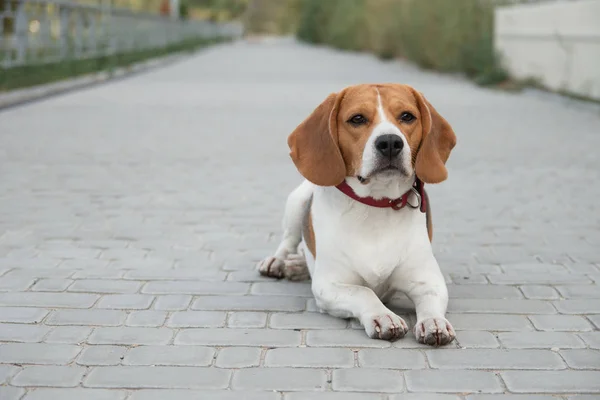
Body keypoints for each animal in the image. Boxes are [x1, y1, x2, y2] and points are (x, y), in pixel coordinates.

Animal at [255, 83, 458, 344]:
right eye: (357, 119)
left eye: (407, 116)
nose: (390, 142)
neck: (375, 205)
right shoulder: (329, 286)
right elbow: (364, 291)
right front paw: (384, 316)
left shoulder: (428, 280)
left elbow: (431, 302)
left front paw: (434, 322)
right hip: (297, 202)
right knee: (288, 241)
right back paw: (279, 262)